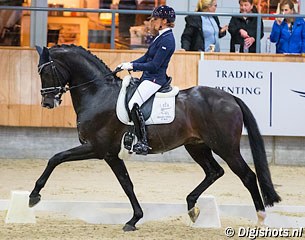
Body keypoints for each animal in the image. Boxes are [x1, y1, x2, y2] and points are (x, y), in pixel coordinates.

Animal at [29, 44, 280, 231]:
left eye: (45, 71)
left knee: (247, 176)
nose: (47, 103)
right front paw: (134, 219)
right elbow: (127, 184)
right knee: (214, 171)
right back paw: (192, 207)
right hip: (197, 146)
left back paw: (260, 218)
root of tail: (231, 98)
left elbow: (55, 158)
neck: (98, 93)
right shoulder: (111, 155)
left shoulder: (97, 148)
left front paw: (34, 196)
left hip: (225, 147)